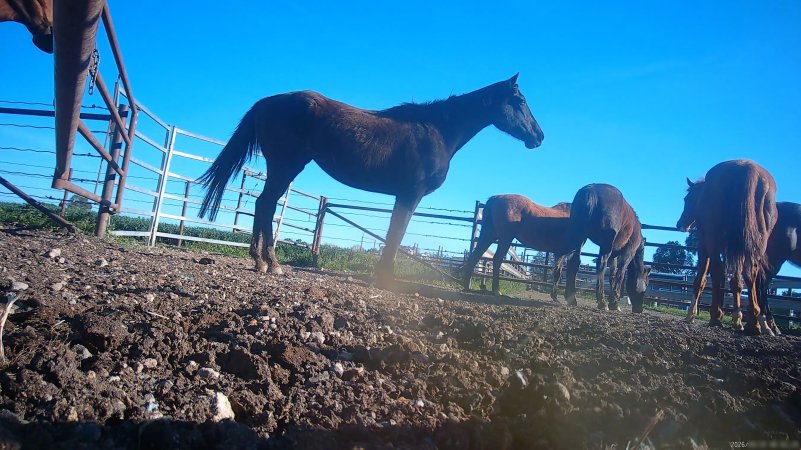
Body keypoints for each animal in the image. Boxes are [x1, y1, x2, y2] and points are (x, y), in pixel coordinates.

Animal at [198, 74, 544, 288]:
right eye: (520, 101)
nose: (539, 137)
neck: (438, 131)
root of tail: (268, 102)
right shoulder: (410, 194)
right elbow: (396, 235)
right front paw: (386, 278)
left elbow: (394, 234)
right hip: (286, 165)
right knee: (267, 204)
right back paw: (270, 262)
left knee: (263, 205)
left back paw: (260, 261)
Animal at [677, 159, 777, 335]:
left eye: (687, 199)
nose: (680, 224)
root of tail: (749, 171)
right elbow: (736, 280)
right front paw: (737, 318)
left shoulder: (705, 246)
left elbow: (701, 280)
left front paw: (692, 314)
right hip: (754, 244)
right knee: (751, 274)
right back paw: (757, 322)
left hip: (715, 242)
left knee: (718, 272)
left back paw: (716, 318)